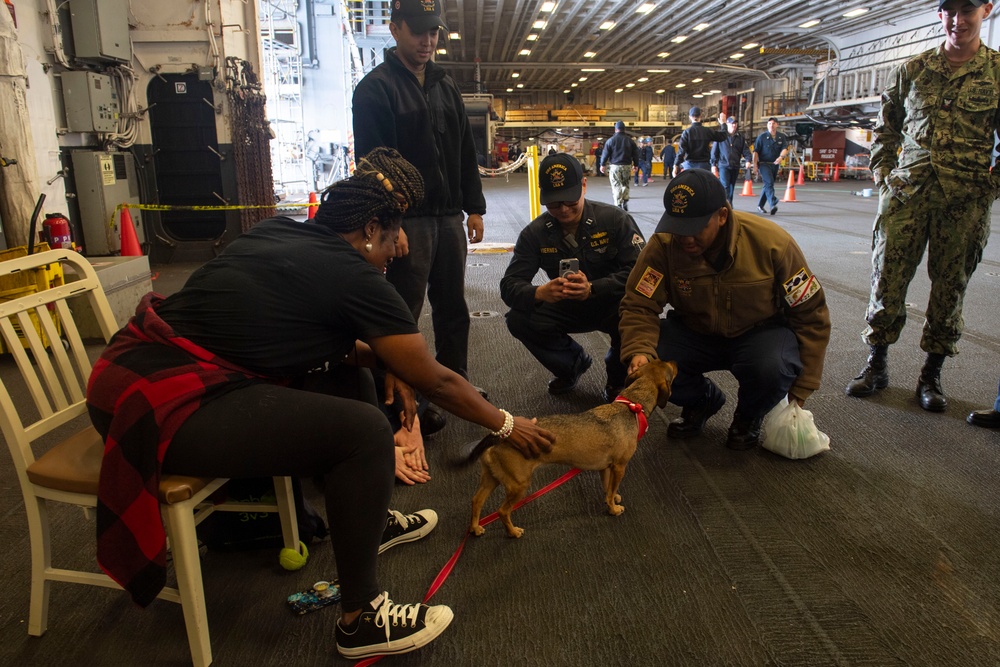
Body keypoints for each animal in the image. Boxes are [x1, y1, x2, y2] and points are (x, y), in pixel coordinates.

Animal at [470, 360, 680, 536]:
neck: (631, 406)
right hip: (518, 485)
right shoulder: (620, 466)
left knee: (476, 500)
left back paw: (475, 528)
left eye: (655, 360)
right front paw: (613, 510)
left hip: (492, 478)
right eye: (670, 369)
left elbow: (608, 490)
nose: (676, 362)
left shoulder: (606, 468)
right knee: (502, 511)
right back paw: (513, 532)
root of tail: (498, 437)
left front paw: (612, 501)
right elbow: (611, 490)